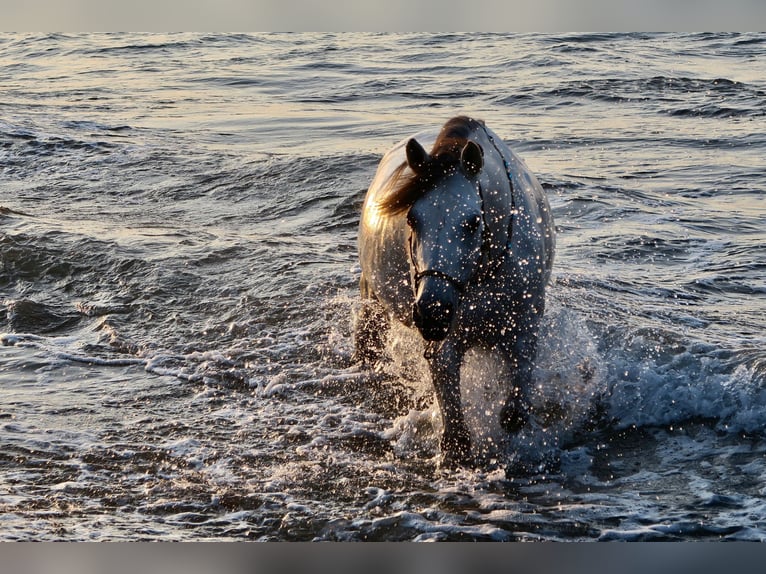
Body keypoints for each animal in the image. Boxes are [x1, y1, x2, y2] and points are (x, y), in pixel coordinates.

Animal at [356, 117, 556, 468]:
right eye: (412, 218)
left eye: (472, 221)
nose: (433, 312)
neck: (483, 271)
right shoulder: (443, 347)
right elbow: (457, 436)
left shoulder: (523, 330)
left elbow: (513, 415)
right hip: (373, 300)